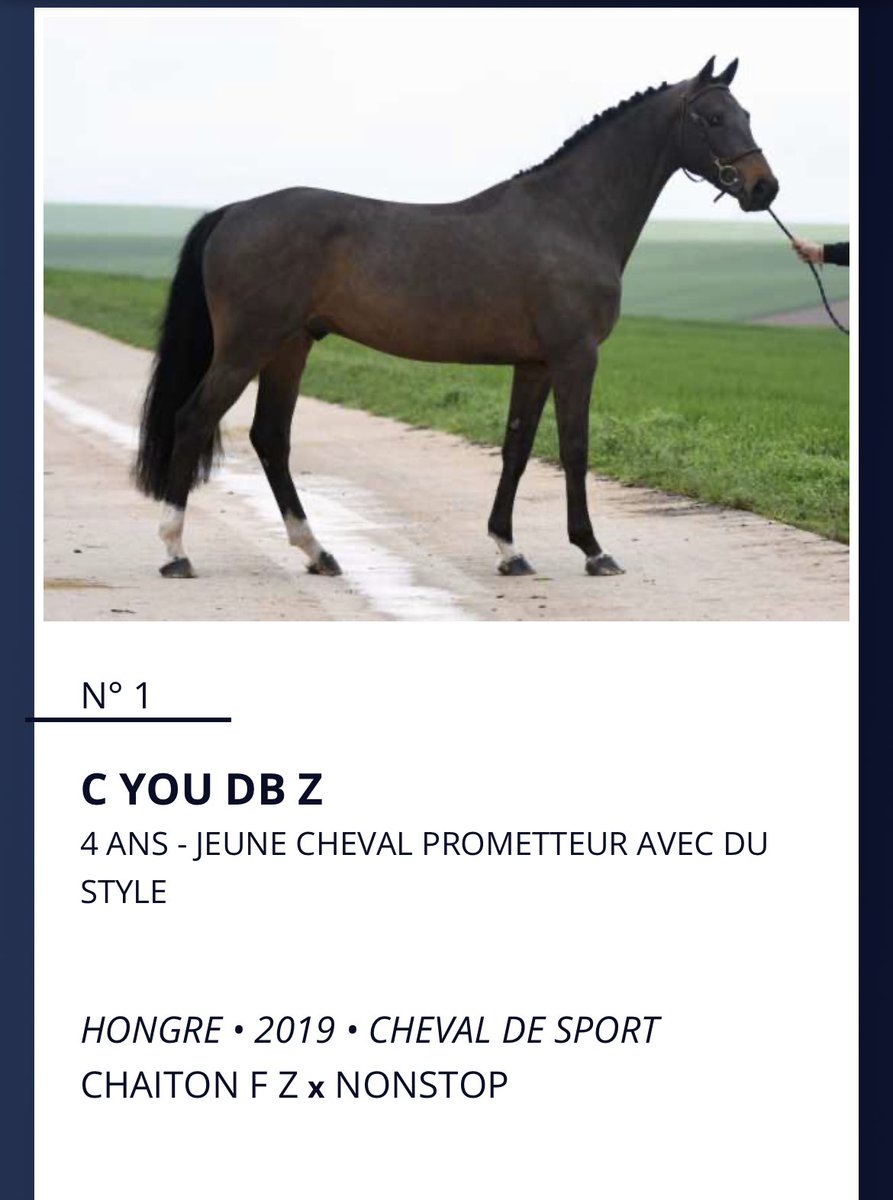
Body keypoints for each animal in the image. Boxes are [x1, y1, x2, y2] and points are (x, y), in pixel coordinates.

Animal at [134, 56, 777, 581]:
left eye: (745, 113)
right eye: (712, 118)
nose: (764, 188)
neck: (570, 216)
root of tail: (234, 211)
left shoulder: (535, 363)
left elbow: (517, 447)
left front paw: (509, 550)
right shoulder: (575, 357)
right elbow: (574, 446)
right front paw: (594, 550)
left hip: (291, 346)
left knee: (271, 437)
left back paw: (318, 552)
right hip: (247, 347)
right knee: (193, 419)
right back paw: (175, 552)